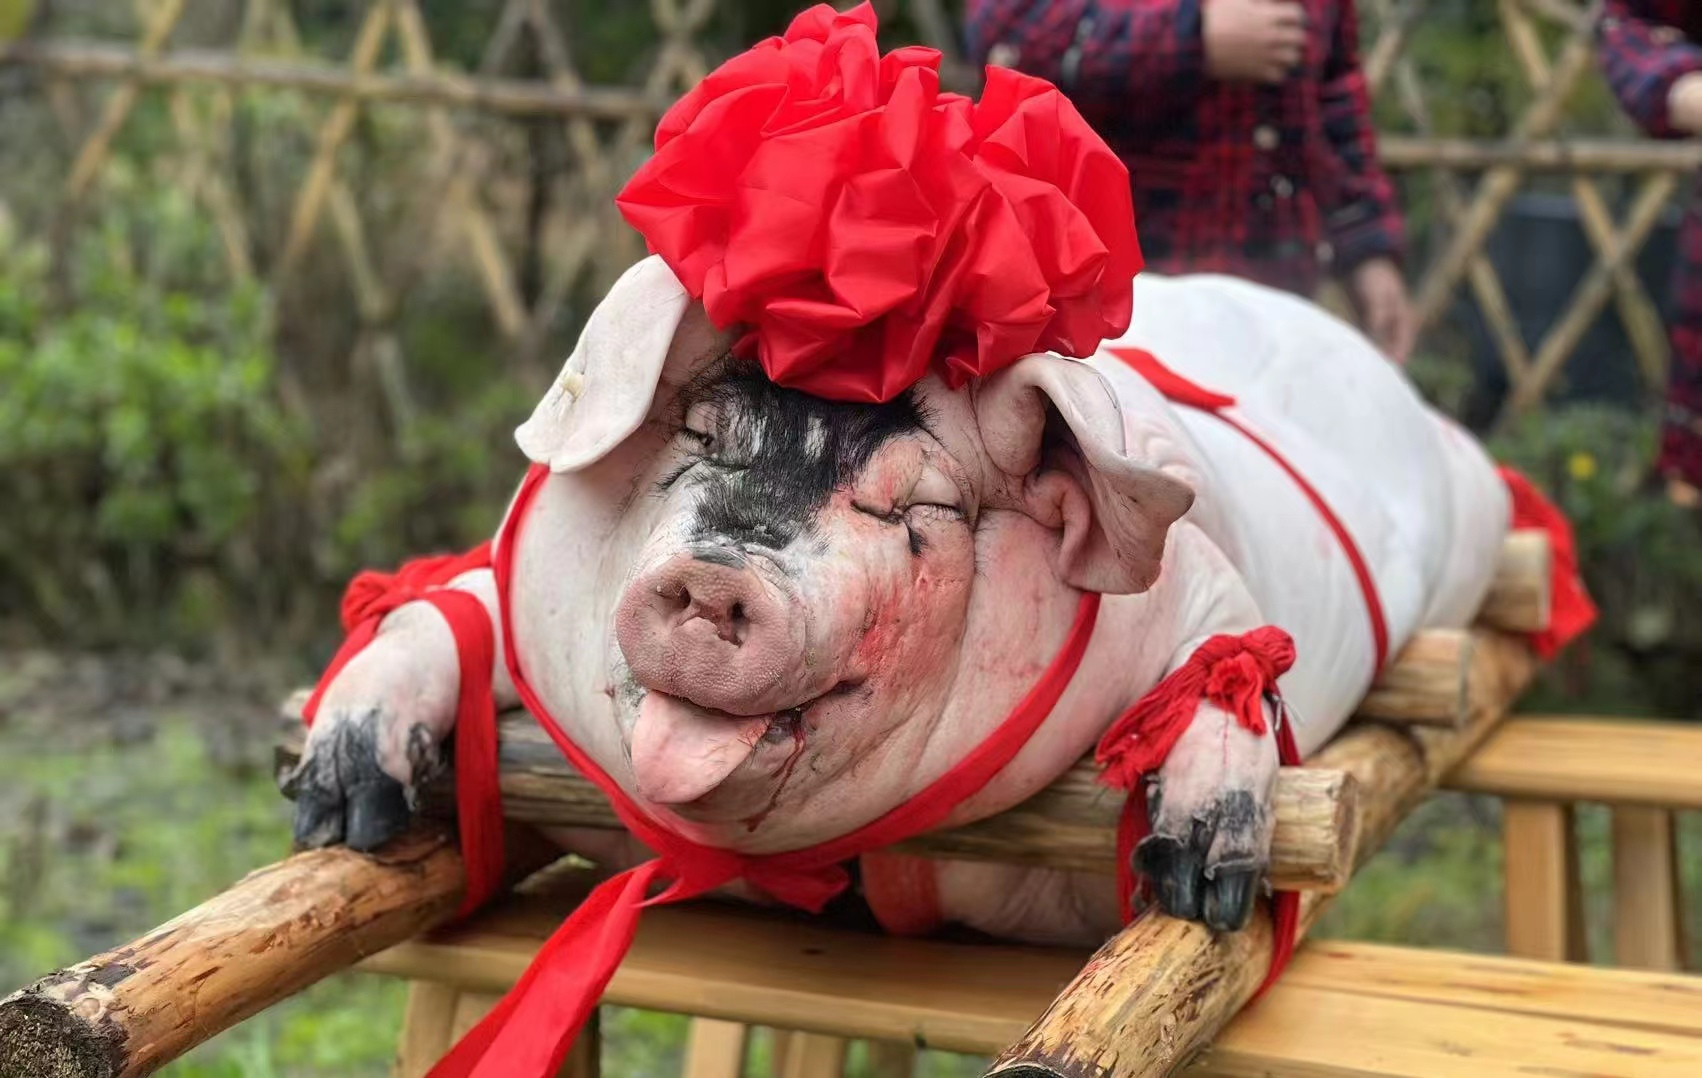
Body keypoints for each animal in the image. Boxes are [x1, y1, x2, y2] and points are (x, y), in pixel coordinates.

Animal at [283, 255, 1508, 943]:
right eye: (702, 438)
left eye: (912, 506)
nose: (718, 574)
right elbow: (441, 599)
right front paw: (337, 813)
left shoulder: (1202, 578)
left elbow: (1237, 659)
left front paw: (1195, 888)